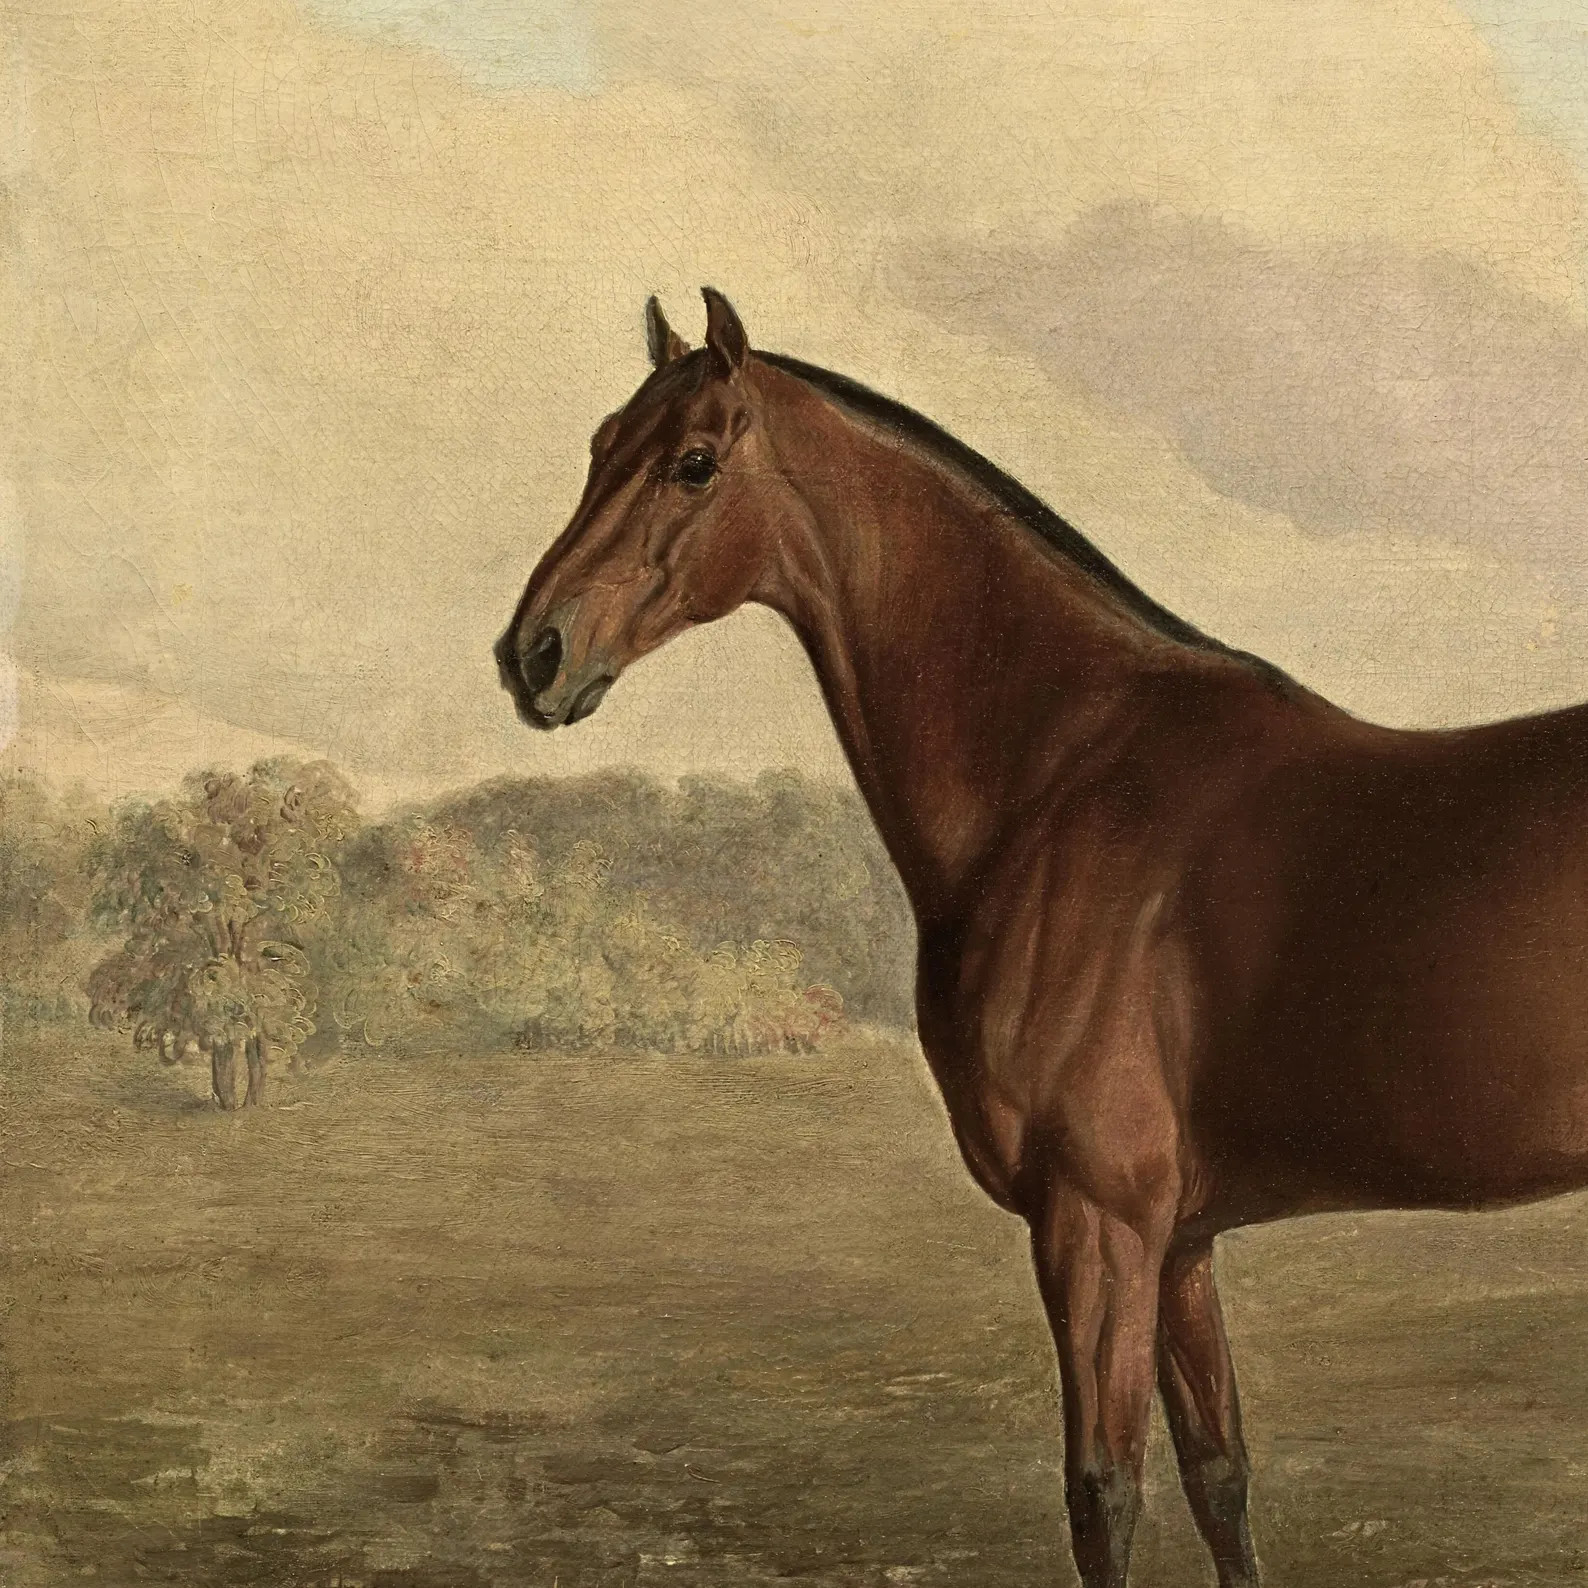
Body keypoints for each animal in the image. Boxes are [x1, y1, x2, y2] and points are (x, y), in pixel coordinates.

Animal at [495, 288, 1588, 1588]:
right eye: (598, 446)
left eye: (693, 463)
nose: (532, 655)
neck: (1062, 771)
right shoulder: (1181, 1242)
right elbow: (1220, 1477)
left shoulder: (1095, 1223)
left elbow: (1103, 1493)